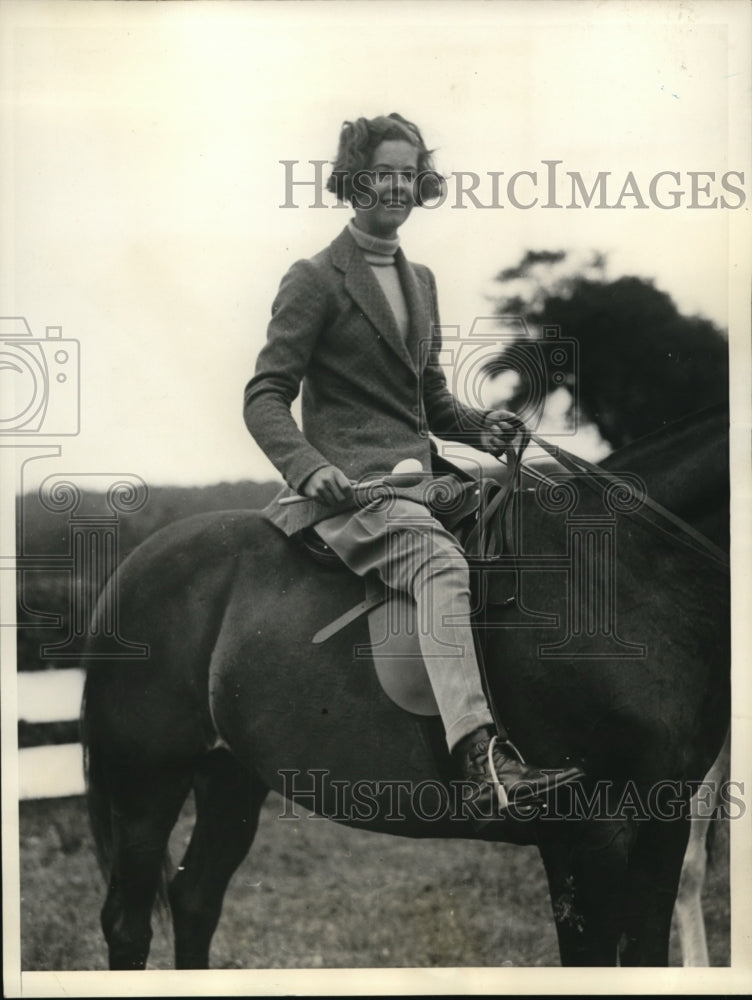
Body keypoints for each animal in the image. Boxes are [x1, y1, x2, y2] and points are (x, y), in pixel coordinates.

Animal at [81, 400, 728, 968]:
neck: (622, 573)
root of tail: (129, 569)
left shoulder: (664, 824)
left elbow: (647, 950)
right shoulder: (585, 836)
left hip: (230, 777)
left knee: (195, 901)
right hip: (148, 784)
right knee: (128, 923)